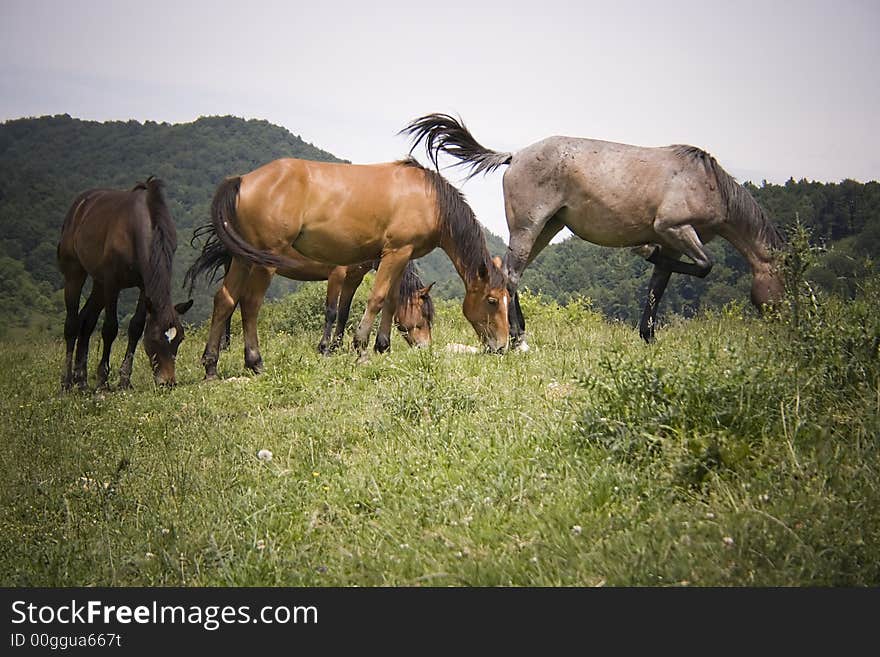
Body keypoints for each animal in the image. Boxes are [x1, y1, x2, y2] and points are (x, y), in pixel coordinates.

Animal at [57, 176, 194, 390]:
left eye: (180, 339)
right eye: (155, 339)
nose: (168, 382)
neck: (136, 230)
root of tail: (79, 206)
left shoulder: (145, 287)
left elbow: (135, 327)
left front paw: (124, 380)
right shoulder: (112, 284)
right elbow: (110, 328)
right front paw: (103, 380)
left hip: (99, 283)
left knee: (86, 321)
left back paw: (82, 381)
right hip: (75, 273)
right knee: (72, 324)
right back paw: (67, 382)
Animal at [184, 222, 434, 368]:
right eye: (423, 316)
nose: (426, 348)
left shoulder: (352, 279)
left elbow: (344, 313)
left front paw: (337, 347)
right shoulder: (337, 275)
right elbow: (331, 312)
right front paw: (324, 348)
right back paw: (224, 347)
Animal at [402, 113, 788, 348]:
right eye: (784, 286)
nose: (782, 323)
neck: (707, 181)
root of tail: (515, 155)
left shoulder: (675, 242)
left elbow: (658, 285)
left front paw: (648, 335)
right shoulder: (675, 229)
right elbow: (704, 267)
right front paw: (644, 252)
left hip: (548, 227)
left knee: (512, 274)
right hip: (530, 226)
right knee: (510, 275)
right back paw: (518, 337)